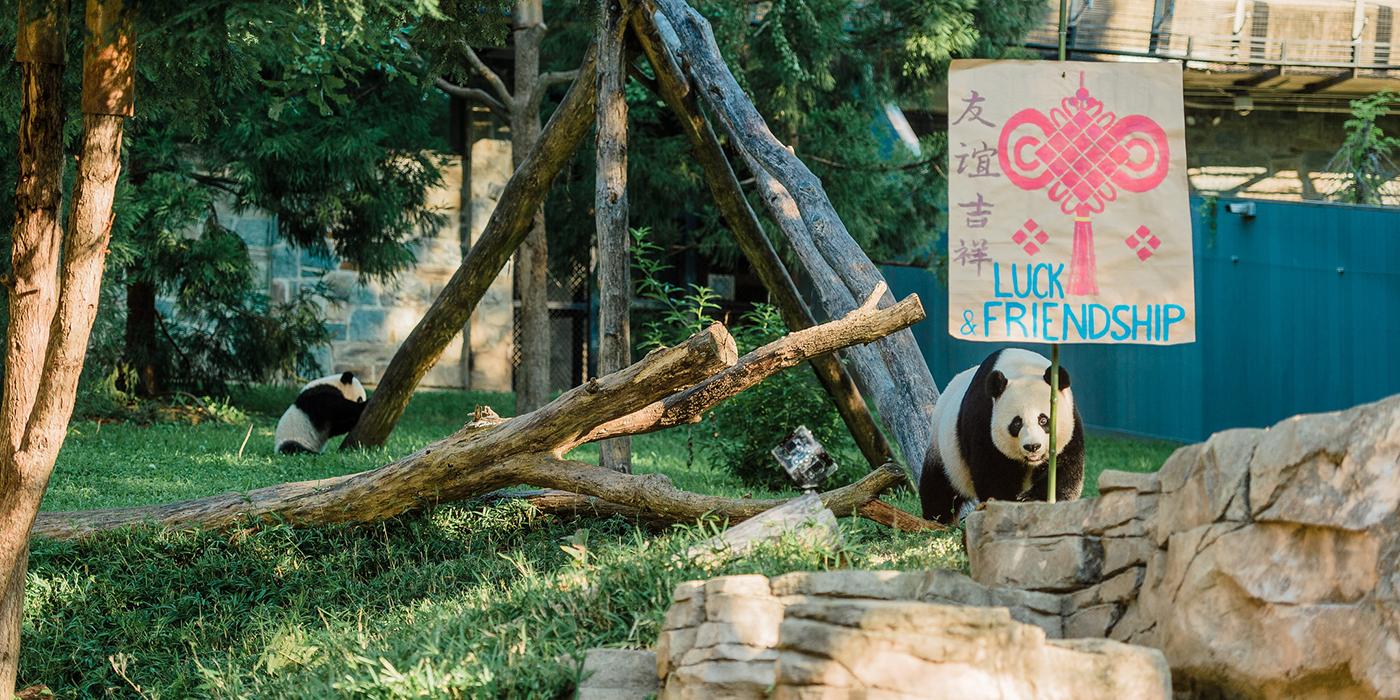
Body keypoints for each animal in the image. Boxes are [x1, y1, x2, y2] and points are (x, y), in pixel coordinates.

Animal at [924, 347, 1086, 523]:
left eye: (1043, 420)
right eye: (1017, 423)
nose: (1033, 446)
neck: (1022, 368)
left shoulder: (1071, 423)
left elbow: (1065, 470)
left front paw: (1034, 501)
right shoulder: (984, 420)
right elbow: (993, 474)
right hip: (944, 451)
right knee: (939, 486)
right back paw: (936, 518)